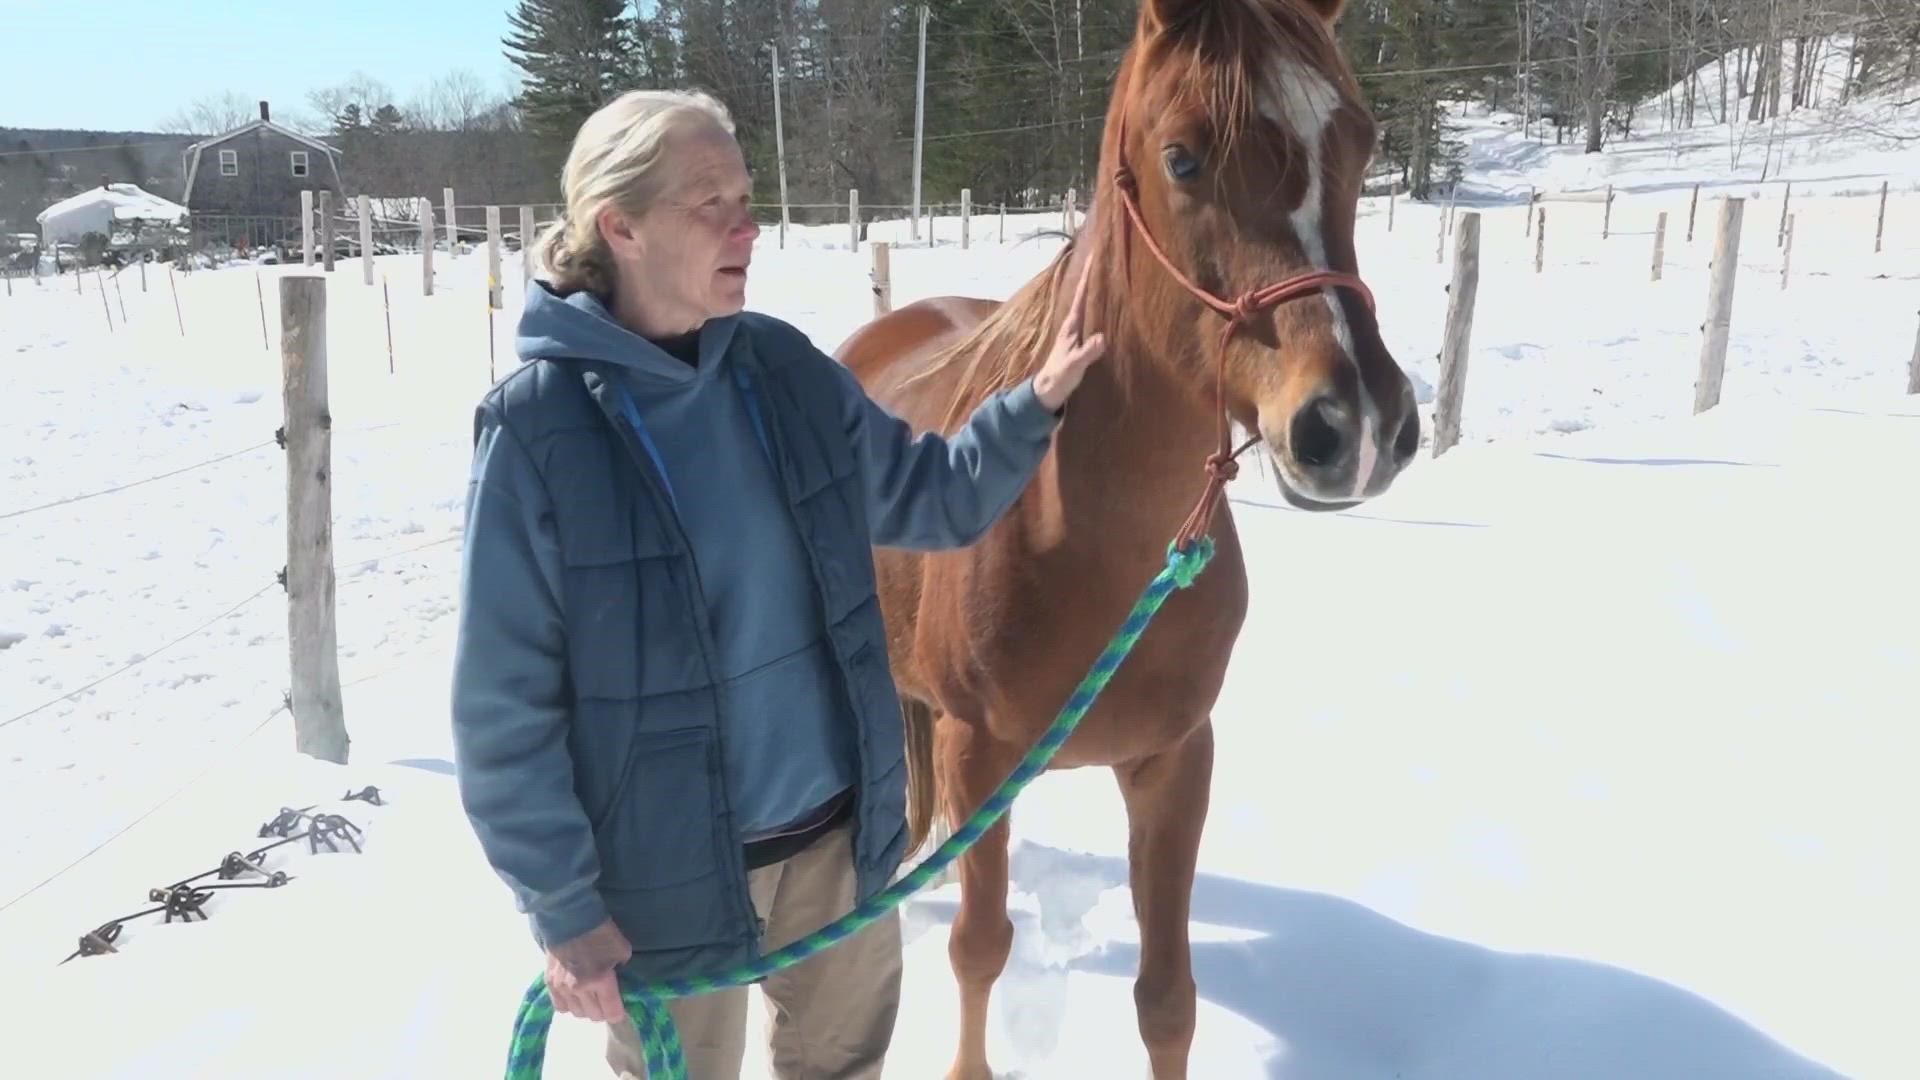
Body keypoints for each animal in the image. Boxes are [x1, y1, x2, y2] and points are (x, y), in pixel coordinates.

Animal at [833, 4, 1420, 1068]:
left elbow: (1167, 998)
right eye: (1182, 158)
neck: (1085, 541)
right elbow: (981, 950)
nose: (1355, 426)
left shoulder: (1175, 762)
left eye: (1359, 141)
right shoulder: (978, 755)